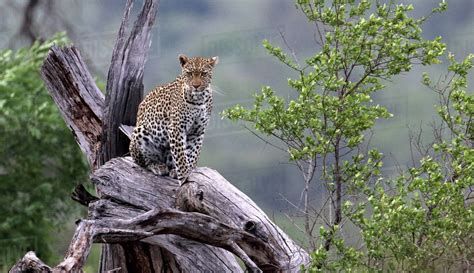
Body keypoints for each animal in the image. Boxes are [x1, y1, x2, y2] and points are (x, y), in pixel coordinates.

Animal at [130, 54, 218, 182]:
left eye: (203, 74)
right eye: (189, 73)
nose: (196, 86)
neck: (199, 100)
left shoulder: (198, 131)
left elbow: (192, 153)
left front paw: (187, 169)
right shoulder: (176, 128)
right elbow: (181, 156)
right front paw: (183, 176)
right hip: (140, 132)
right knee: (143, 162)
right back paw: (157, 165)